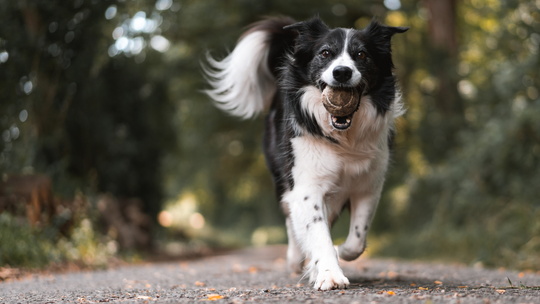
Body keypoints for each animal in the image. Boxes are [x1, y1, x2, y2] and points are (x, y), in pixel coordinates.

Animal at [205, 16, 408, 290]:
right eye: (325, 53)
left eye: (362, 54)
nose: (341, 72)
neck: (344, 138)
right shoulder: (305, 184)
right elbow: (317, 232)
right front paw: (330, 274)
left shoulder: (368, 185)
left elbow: (356, 239)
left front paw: (338, 253)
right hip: (282, 179)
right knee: (291, 220)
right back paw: (295, 259)